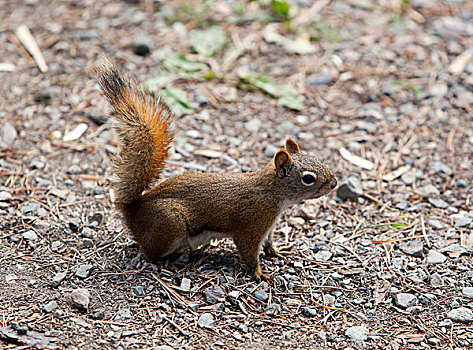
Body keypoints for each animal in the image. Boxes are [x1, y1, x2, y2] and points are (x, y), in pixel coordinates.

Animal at [92, 58, 336, 282]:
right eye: (308, 178)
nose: (334, 183)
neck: (273, 192)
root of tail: (134, 210)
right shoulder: (252, 223)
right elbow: (249, 251)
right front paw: (259, 273)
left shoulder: (268, 227)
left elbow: (268, 244)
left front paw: (277, 251)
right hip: (169, 222)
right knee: (149, 253)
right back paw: (172, 262)